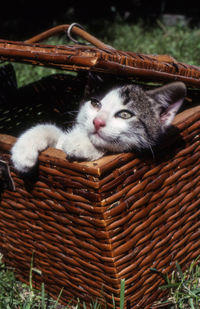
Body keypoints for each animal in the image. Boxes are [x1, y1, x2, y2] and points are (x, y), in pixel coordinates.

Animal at [10, 76, 186, 172]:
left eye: (125, 114)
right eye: (95, 103)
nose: (97, 121)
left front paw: (81, 144)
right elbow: (51, 130)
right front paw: (22, 152)